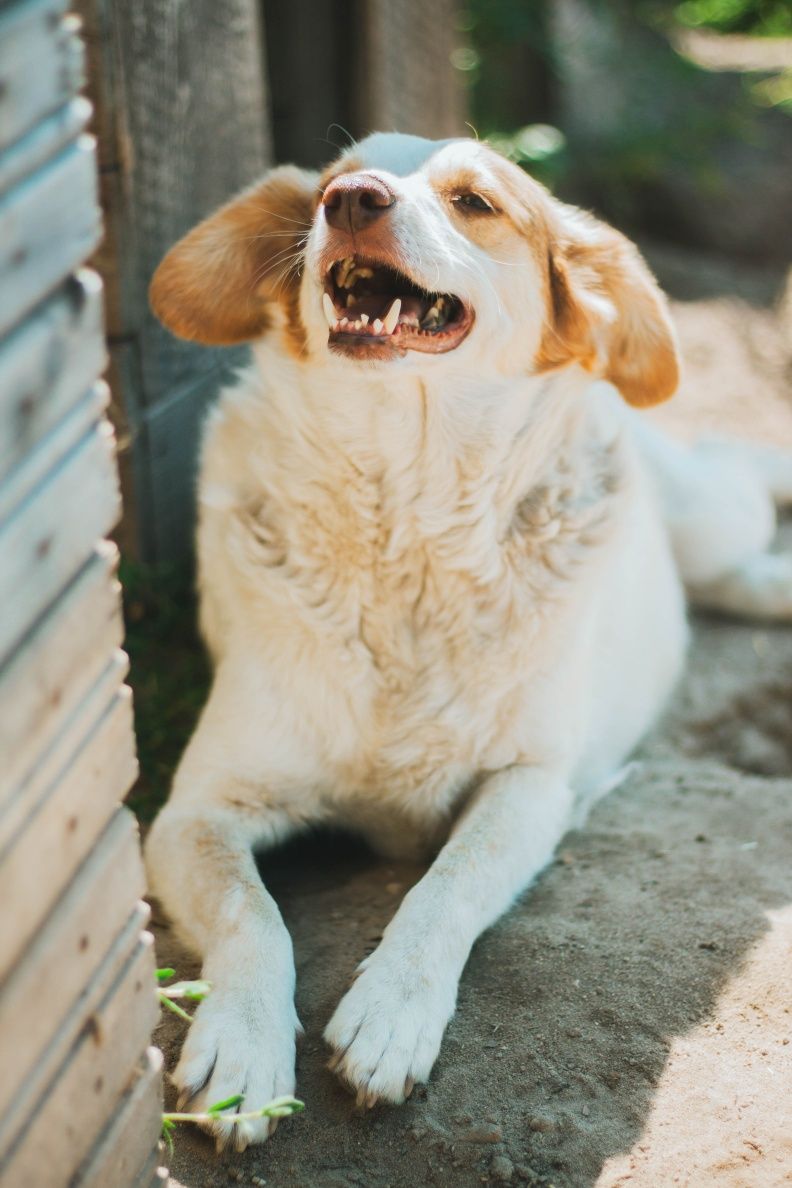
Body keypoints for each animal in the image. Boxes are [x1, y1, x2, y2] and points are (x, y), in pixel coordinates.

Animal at [144, 132, 792, 1149]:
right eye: (332, 186)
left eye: (476, 201)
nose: (353, 202)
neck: (405, 512)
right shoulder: (193, 812)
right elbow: (254, 915)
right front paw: (243, 1050)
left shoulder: (533, 784)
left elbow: (447, 883)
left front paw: (390, 1013)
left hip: (709, 510)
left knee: (746, 470)